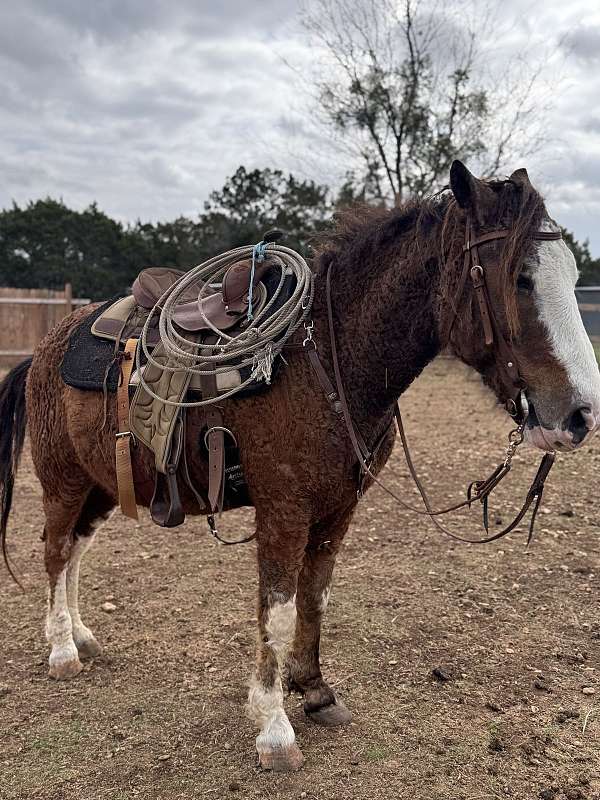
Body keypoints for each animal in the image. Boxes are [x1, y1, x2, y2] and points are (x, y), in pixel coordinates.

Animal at [1, 161, 598, 773]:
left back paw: (81, 633)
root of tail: (44, 349)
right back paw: (62, 649)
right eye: (520, 277)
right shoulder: (284, 510)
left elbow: (315, 597)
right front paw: (274, 727)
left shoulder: (338, 509)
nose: (580, 415)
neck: (326, 363)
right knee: (55, 550)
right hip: (62, 480)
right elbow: (280, 610)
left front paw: (314, 691)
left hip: (99, 484)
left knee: (76, 550)